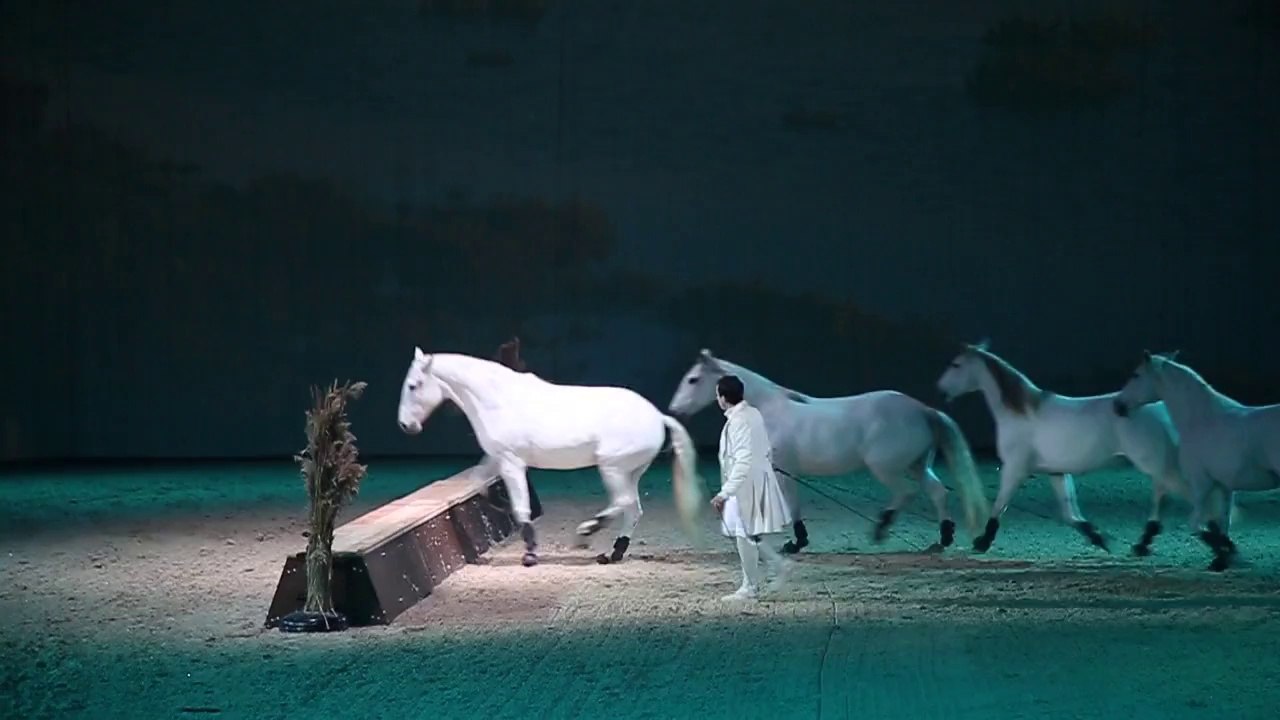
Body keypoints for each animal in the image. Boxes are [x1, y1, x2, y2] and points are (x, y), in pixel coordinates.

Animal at [397, 347, 704, 567]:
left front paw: (530, 554)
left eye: (413, 386)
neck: (496, 400)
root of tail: (658, 416)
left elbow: (521, 508)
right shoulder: (497, 458)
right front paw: (496, 505)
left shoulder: (511, 462)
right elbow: (479, 482)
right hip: (631, 472)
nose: (405, 426)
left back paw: (587, 532)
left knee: (623, 502)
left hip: (613, 467)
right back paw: (613, 552)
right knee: (633, 509)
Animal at [667, 349, 989, 552]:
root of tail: (923, 410)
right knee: (937, 492)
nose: (674, 411)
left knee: (906, 492)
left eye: (693, 379)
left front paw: (793, 542)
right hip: (917, 464)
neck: (767, 411)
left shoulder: (781, 470)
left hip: (886, 467)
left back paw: (881, 529)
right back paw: (943, 538)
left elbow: (786, 504)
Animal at [936, 342, 1187, 556]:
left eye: (956, 365)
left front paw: (983, 542)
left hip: (1150, 461)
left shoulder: (1014, 469)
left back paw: (1145, 541)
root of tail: (1159, 406)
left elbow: (999, 505)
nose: (940, 390)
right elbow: (1070, 514)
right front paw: (1099, 538)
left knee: (1164, 490)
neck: (1021, 413)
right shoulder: (1056, 472)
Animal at [1115, 350, 1280, 571]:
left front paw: (1222, 557)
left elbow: (1195, 525)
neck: (1202, 420)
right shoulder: (1223, 486)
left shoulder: (1201, 484)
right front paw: (1224, 556)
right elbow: (1222, 523)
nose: (1118, 406)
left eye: (1136, 375)